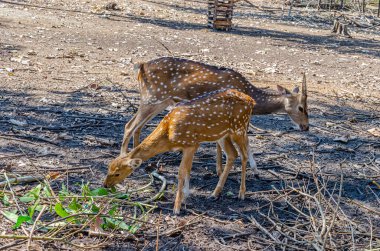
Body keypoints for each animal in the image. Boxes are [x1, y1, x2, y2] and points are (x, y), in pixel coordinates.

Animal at [103, 88, 255, 214]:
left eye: (117, 173)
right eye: (108, 168)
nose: (105, 185)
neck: (169, 134)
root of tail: (251, 100)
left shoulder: (191, 144)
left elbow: (181, 171)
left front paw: (177, 207)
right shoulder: (193, 145)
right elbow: (188, 169)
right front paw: (186, 196)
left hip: (240, 127)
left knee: (244, 155)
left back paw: (241, 193)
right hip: (223, 134)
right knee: (232, 154)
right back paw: (215, 193)